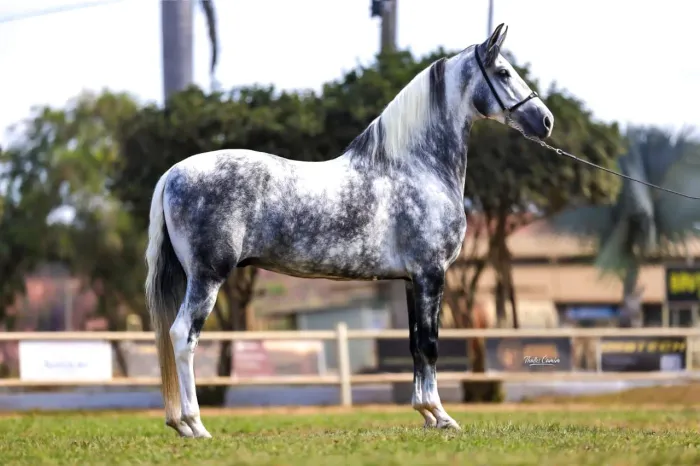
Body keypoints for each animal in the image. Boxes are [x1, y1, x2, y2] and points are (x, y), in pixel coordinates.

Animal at [145, 23, 554, 438]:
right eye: (503, 72)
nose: (545, 121)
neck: (418, 167)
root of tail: (173, 173)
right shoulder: (431, 274)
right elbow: (430, 344)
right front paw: (441, 415)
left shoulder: (411, 280)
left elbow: (413, 344)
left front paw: (425, 413)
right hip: (207, 276)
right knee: (183, 336)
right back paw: (194, 424)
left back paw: (180, 424)